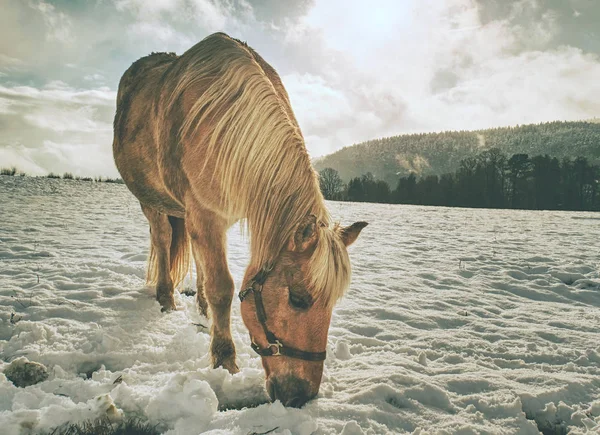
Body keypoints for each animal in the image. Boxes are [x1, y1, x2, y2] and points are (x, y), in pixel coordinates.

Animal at [112, 31, 366, 408]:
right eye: (298, 299)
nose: (302, 396)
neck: (219, 122)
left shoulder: (216, 217)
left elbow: (212, 273)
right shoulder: (205, 215)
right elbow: (223, 287)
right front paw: (225, 361)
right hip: (151, 202)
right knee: (162, 240)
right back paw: (166, 299)